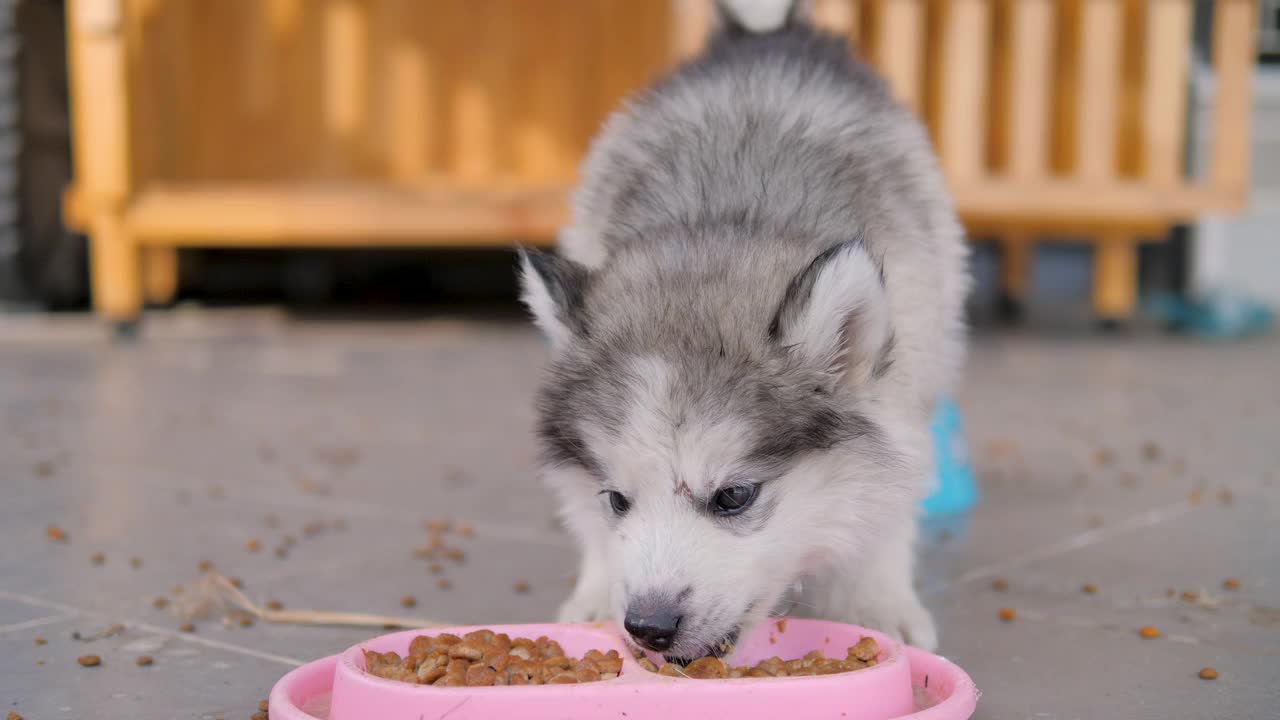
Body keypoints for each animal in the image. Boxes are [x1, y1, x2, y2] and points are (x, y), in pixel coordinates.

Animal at [514, 0, 962, 661]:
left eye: (732, 497)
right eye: (618, 499)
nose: (647, 627)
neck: (725, 227)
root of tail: (764, 36)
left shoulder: (904, 388)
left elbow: (889, 497)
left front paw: (876, 602)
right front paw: (597, 594)